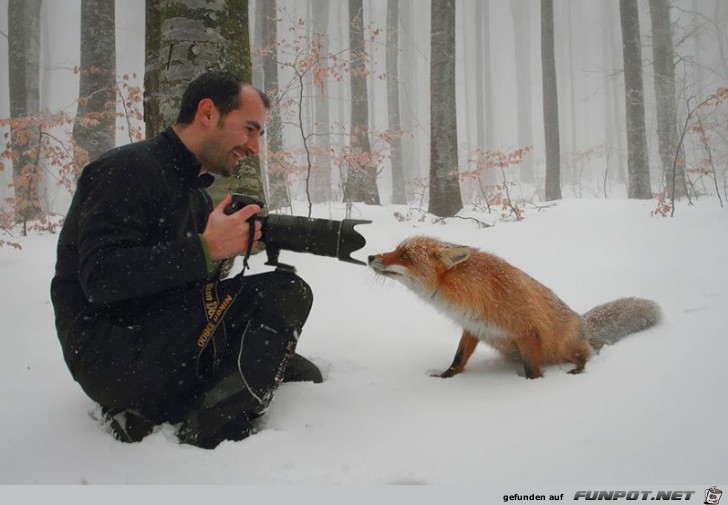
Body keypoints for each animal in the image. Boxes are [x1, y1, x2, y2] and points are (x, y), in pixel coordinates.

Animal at [370, 236, 660, 378]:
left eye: (404, 256)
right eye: (396, 249)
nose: (371, 256)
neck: (473, 293)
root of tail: (583, 322)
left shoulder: (528, 332)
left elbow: (533, 371)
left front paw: (531, 388)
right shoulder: (473, 327)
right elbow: (458, 359)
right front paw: (445, 378)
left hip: (566, 346)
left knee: (586, 355)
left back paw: (578, 369)